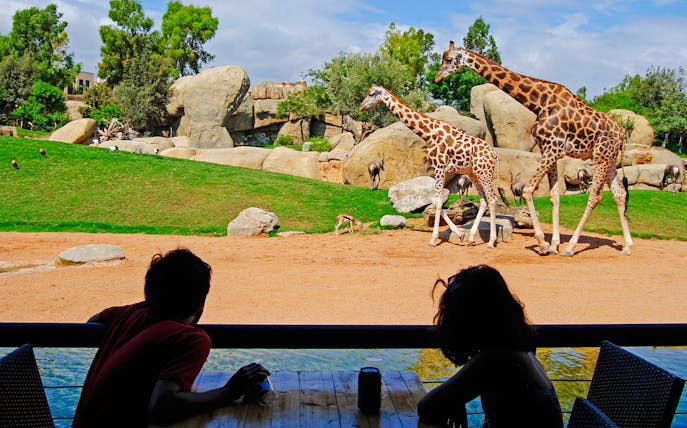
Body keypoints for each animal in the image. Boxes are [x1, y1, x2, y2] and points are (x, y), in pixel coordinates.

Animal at [359, 83, 499, 248]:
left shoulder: (440, 168)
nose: (361, 107)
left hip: (484, 172)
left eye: (372, 94)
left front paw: (433, 239)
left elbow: (438, 202)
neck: (429, 133)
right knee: (484, 201)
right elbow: (434, 201)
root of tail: (494, 155)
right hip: (474, 173)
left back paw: (491, 241)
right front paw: (460, 234)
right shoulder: (441, 170)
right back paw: (471, 238)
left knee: (492, 199)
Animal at [436, 41, 633, 256]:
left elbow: (529, 190)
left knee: (595, 196)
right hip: (610, 159)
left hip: (600, 156)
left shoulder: (552, 148)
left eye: (448, 59)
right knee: (619, 194)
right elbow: (554, 196)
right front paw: (553, 244)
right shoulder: (551, 151)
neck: (539, 102)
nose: (437, 78)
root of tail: (621, 133)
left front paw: (543, 243)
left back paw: (571, 246)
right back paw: (627, 246)